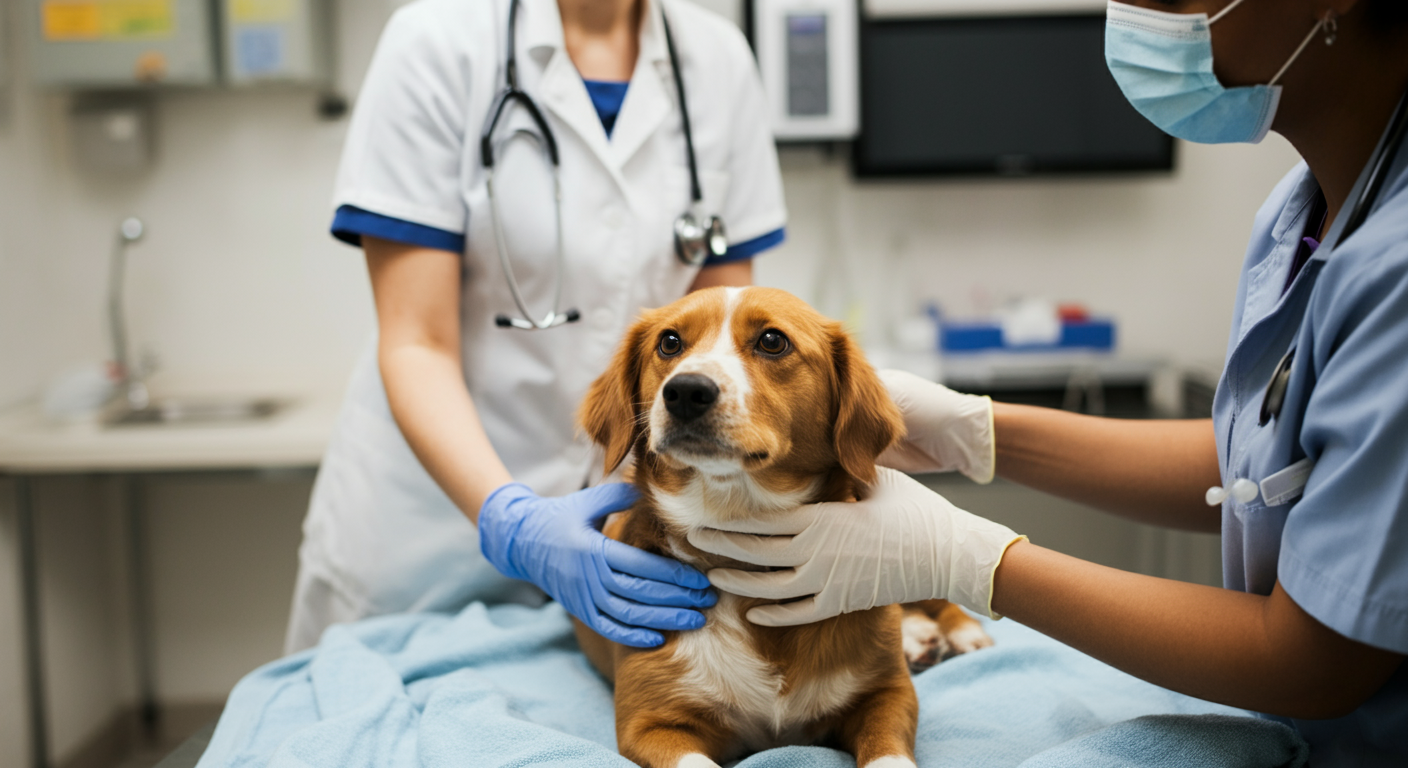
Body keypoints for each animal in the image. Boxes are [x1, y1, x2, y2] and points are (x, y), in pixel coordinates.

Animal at [571, 286, 991, 766]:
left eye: (772, 341)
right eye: (670, 343)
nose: (686, 390)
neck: (742, 546)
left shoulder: (889, 695)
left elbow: (888, 752)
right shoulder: (650, 724)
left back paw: (961, 632)